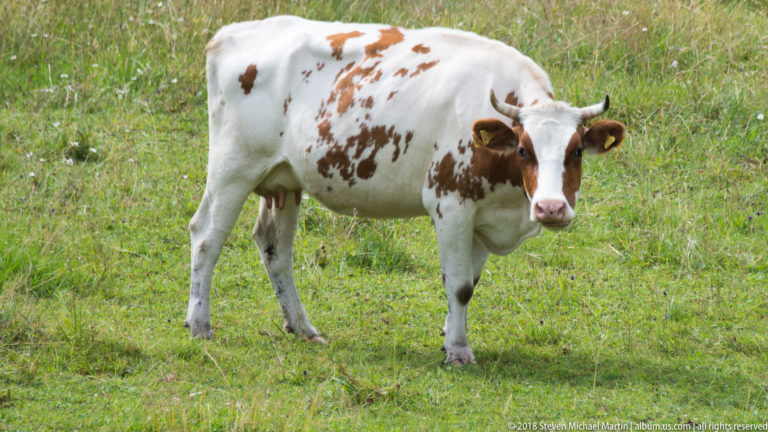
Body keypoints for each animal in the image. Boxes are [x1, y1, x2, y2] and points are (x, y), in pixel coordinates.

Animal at [185, 15, 626, 365]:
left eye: (576, 152)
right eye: (523, 149)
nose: (551, 208)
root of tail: (231, 32)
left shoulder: (484, 218)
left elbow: (469, 283)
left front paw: (449, 338)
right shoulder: (450, 204)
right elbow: (459, 285)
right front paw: (459, 351)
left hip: (285, 180)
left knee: (275, 246)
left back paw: (302, 327)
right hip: (232, 167)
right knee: (206, 235)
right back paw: (200, 324)